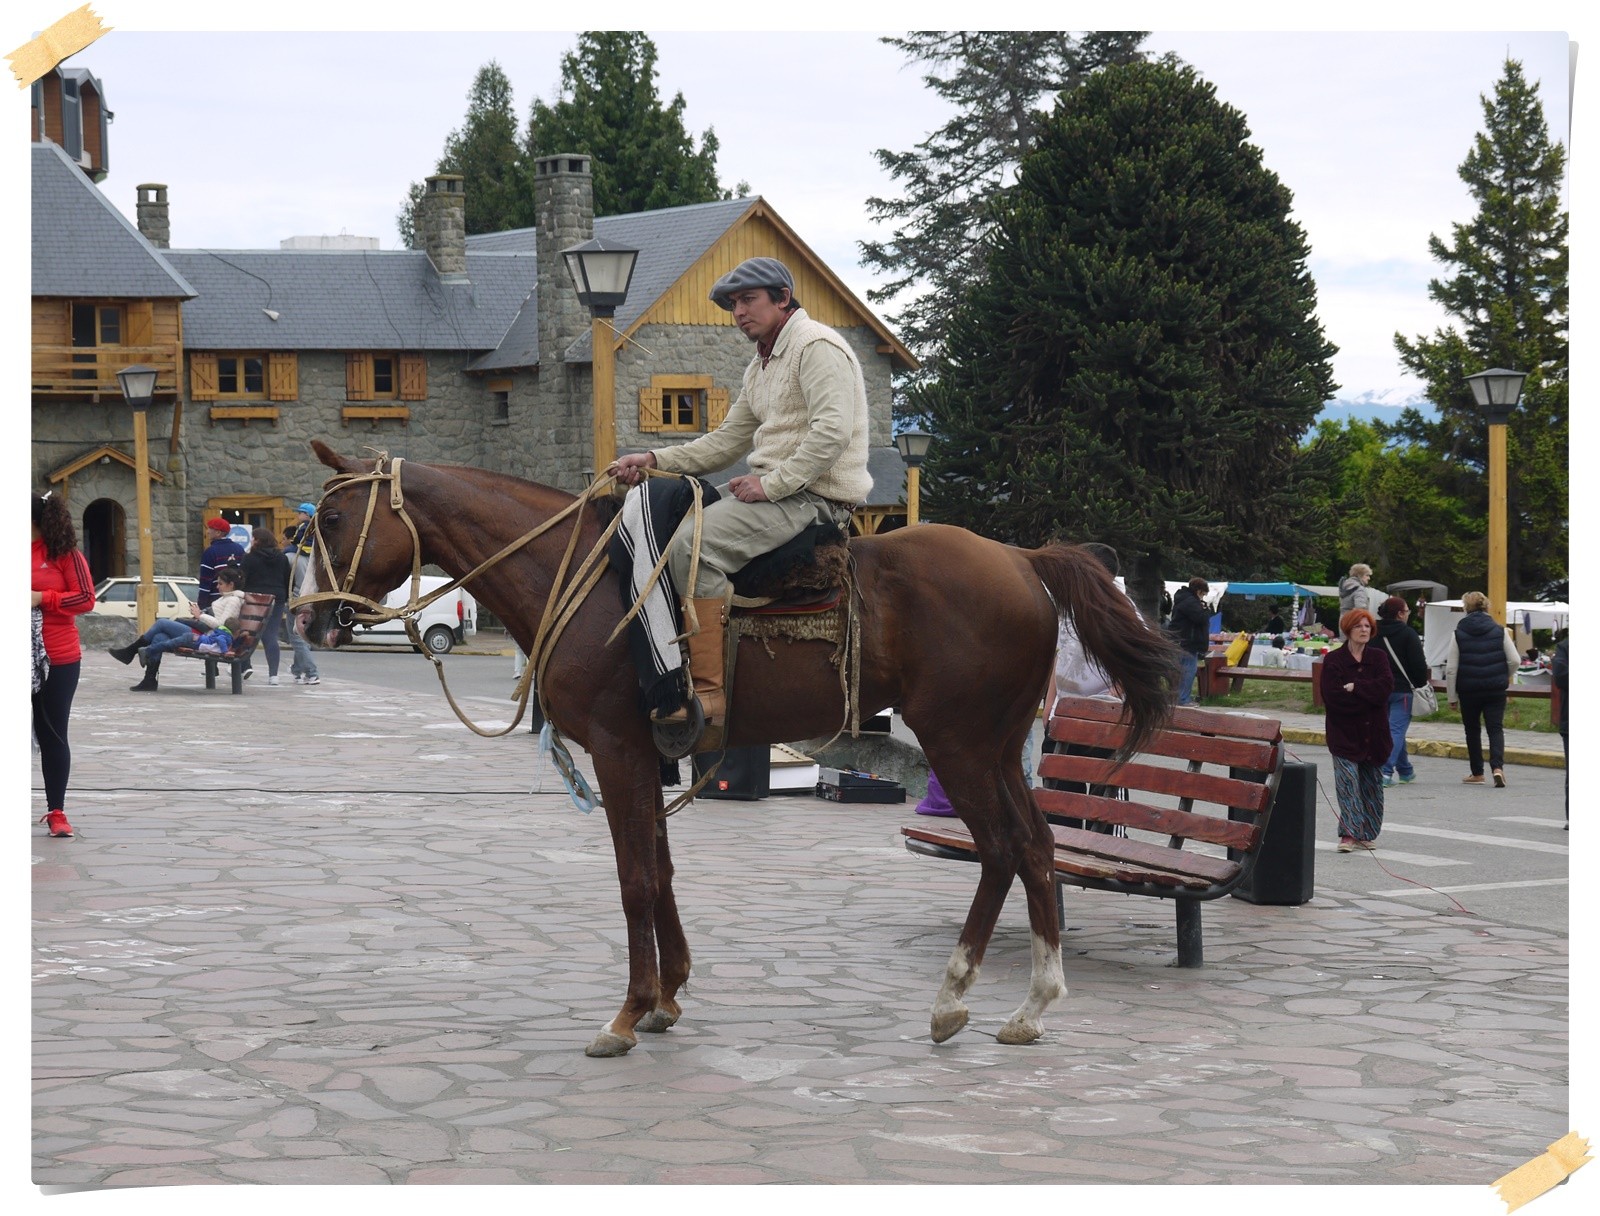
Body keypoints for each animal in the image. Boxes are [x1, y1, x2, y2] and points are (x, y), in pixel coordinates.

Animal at [297, 444, 1177, 1056]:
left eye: (332, 522)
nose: (309, 620)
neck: (583, 580)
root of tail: (1024, 559)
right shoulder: (649, 756)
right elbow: (661, 869)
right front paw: (668, 995)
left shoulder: (618, 751)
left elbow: (634, 881)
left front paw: (628, 1011)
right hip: (995, 745)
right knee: (1033, 847)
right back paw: (1027, 1005)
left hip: (958, 741)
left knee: (999, 848)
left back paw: (959, 996)